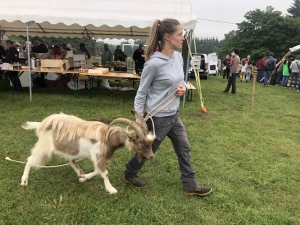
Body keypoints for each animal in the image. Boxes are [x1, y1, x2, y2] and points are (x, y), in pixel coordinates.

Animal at [20, 110, 155, 194]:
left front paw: (84, 178)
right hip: (44, 146)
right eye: (141, 145)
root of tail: (41, 124)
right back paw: (24, 181)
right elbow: (104, 172)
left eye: (151, 143)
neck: (108, 136)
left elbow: (97, 170)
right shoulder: (97, 155)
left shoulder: (98, 156)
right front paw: (111, 189)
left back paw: (80, 173)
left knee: (71, 160)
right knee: (30, 160)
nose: (152, 157)